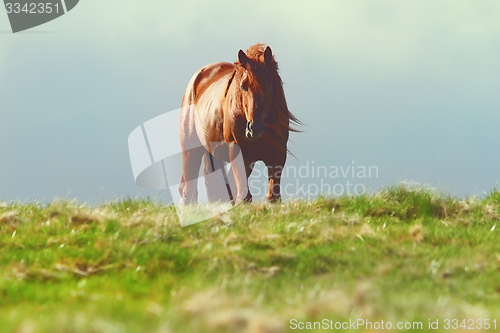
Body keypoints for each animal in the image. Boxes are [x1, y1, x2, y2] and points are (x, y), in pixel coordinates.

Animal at [178, 44, 298, 204]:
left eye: (269, 83)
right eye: (243, 86)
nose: (254, 128)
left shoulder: (277, 155)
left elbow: (273, 196)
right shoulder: (237, 152)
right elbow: (244, 196)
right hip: (191, 150)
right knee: (188, 190)